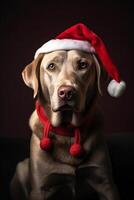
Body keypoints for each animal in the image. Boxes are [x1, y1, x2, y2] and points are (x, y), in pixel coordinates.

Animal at [10, 48, 119, 200]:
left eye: (83, 65)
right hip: (22, 167)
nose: (66, 92)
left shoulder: (106, 184)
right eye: (51, 66)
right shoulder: (39, 189)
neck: (67, 130)